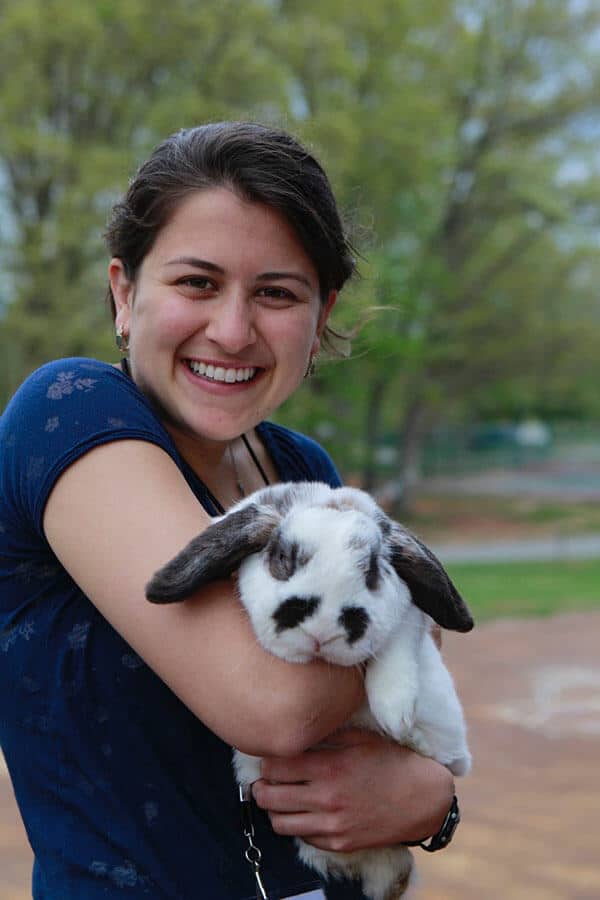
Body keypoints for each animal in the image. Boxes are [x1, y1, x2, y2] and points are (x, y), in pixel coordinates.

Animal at [146, 486, 474, 900]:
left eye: (371, 570)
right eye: (282, 558)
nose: (322, 632)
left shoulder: (408, 614)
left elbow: (395, 635)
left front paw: (395, 714)